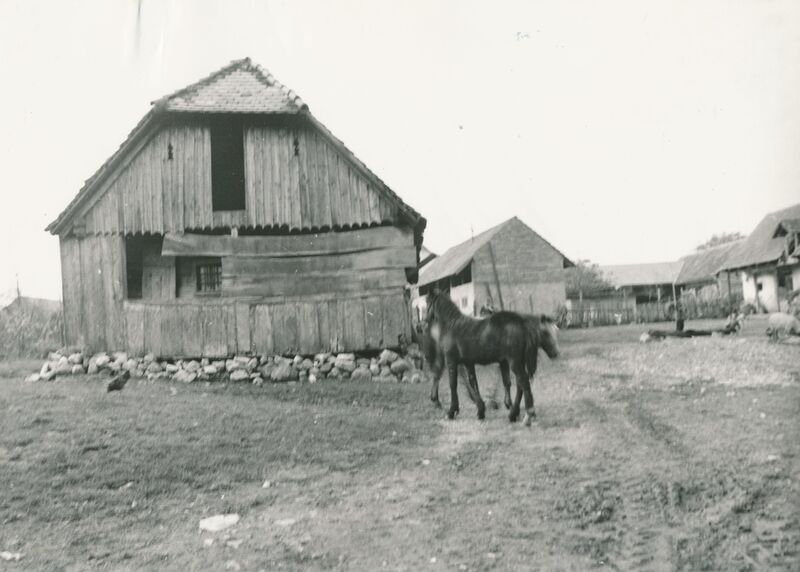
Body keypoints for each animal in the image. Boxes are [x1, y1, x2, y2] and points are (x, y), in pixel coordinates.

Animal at [424, 292, 552, 422]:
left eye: (427, 303)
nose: (425, 321)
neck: (452, 326)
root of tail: (521, 324)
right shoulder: (468, 363)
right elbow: (473, 383)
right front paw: (480, 411)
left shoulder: (451, 361)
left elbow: (453, 385)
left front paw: (451, 411)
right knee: (520, 383)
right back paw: (515, 413)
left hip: (514, 362)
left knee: (524, 382)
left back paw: (527, 413)